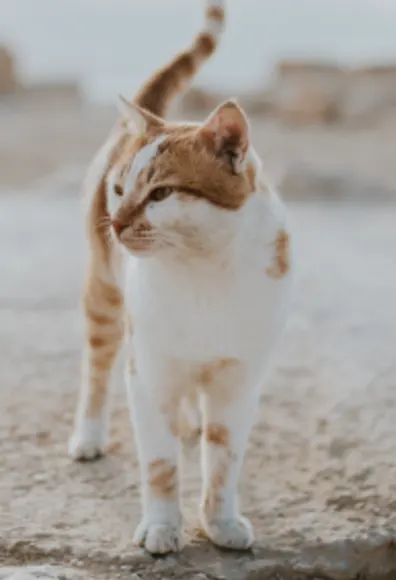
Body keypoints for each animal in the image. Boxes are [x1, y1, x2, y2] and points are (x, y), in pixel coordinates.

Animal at [68, 0, 292, 556]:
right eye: (120, 189)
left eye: (161, 194)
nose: (116, 221)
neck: (204, 272)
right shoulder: (147, 374)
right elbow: (160, 464)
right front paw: (163, 527)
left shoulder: (239, 381)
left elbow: (223, 460)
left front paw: (221, 522)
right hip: (105, 300)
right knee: (96, 369)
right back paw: (89, 436)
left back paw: (190, 421)